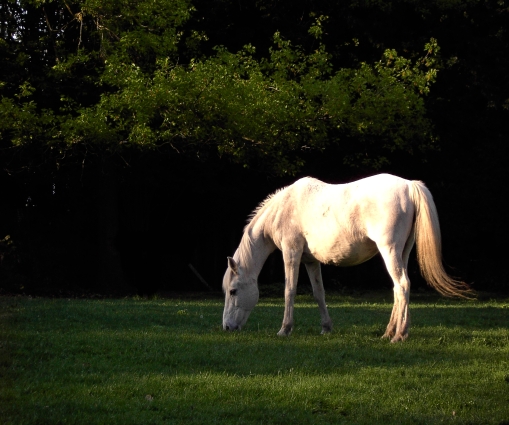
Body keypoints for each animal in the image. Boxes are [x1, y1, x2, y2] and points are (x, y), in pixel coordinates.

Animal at [222, 172, 472, 342]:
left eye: (233, 291)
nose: (226, 327)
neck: (284, 208)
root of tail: (409, 185)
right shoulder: (310, 261)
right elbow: (318, 293)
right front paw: (326, 328)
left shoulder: (291, 253)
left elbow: (289, 291)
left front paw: (285, 329)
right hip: (403, 252)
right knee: (398, 288)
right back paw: (389, 332)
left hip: (389, 250)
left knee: (402, 285)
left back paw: (399, 335)